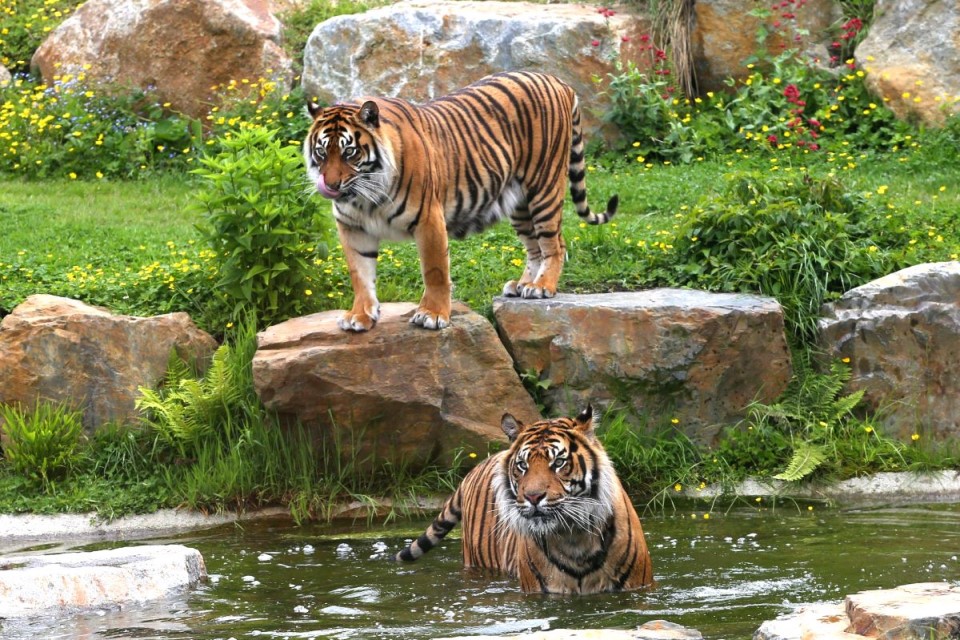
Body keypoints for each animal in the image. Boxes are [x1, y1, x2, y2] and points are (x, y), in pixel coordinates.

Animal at [310, 70, 624, 332]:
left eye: (350, 152)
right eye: (322, 152)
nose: (331, 185)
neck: (365, 198)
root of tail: (558, 81)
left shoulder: (429, 218)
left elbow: (435, 270)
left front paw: (432, 315)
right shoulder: (352, 228)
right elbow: (360, 275)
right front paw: (359, 316)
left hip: (543, 187)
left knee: (555, 244)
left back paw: (542, 287)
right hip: (519, 204)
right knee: (535, 247)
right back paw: (523, 284)